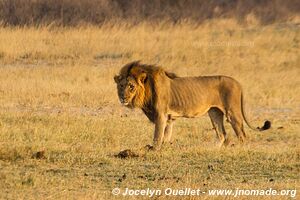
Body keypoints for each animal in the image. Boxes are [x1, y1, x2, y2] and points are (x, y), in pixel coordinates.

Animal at [113, 61, 270, 150]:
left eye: (131, 86)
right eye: (121, 86)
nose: (123, 97)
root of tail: (238, 82)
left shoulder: (161, 114)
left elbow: (157, 135)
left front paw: (154, 149)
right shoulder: (168, 118)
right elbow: (166, 135)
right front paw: (164, 147)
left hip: (232, 112)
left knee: (242, 135)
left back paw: (240, 149)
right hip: (214, 112)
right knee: (222, 134)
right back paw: (213, 150)